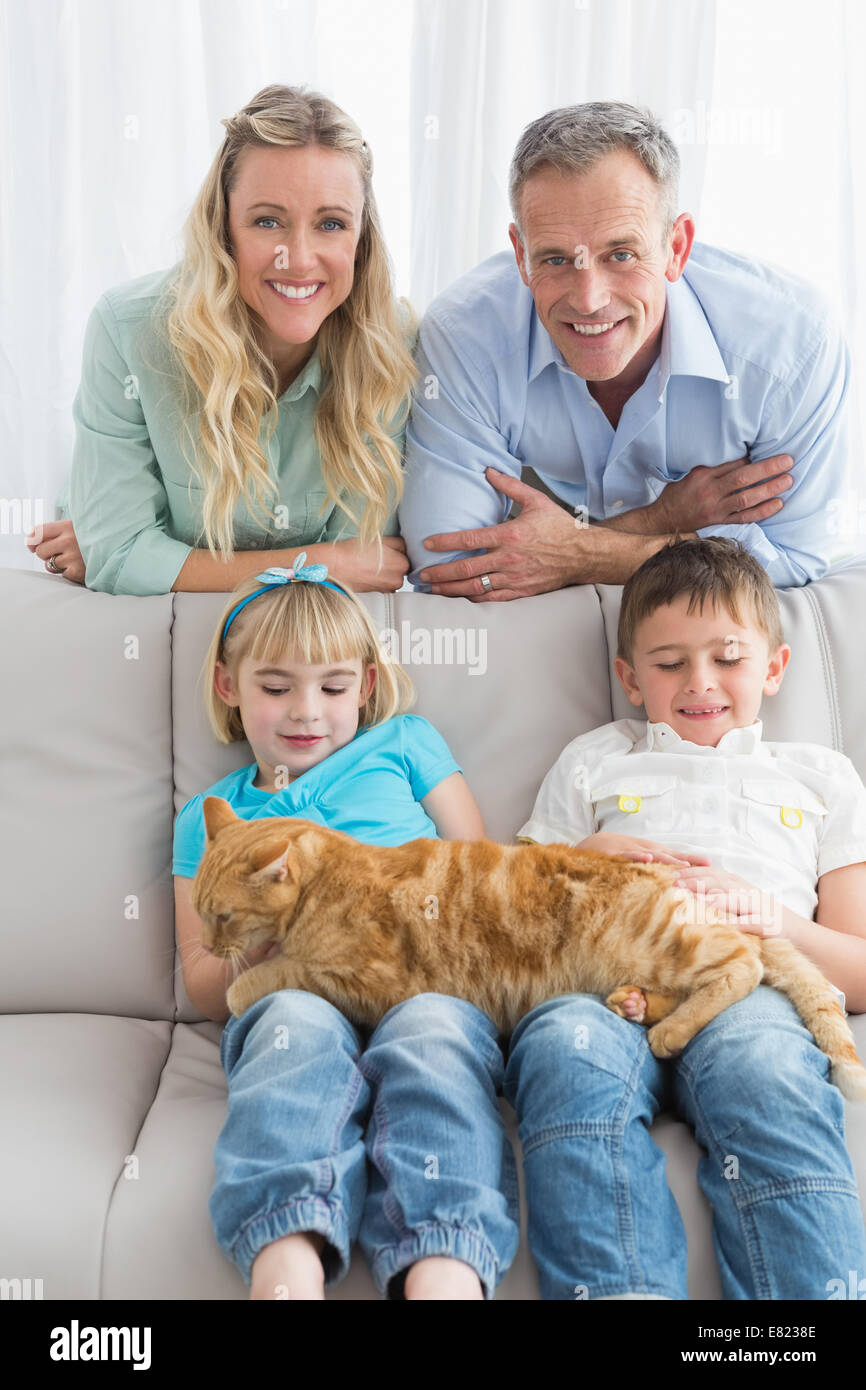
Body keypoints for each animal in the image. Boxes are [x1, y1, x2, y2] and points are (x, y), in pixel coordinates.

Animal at [194, 800, 866, 1100]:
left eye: (222, 915)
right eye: (202, 914)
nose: (203, 944)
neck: (329, 876)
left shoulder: (365, 980)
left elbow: (270, 974)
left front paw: (240, 980)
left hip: (659, 939)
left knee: (740, 964)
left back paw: (668, 1030)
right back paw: (637, 1005)